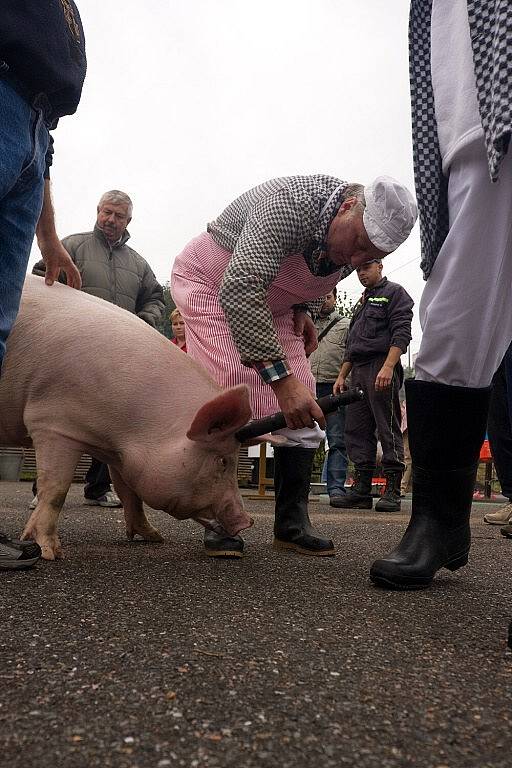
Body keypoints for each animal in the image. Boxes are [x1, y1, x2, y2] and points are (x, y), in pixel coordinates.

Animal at [0, 276, 255, 560]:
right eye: (223, 461)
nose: (247, 521)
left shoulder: (119, 454)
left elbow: (130, 493)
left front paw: (154, 537)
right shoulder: (52, 423)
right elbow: (55, 488)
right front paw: (50, 553)